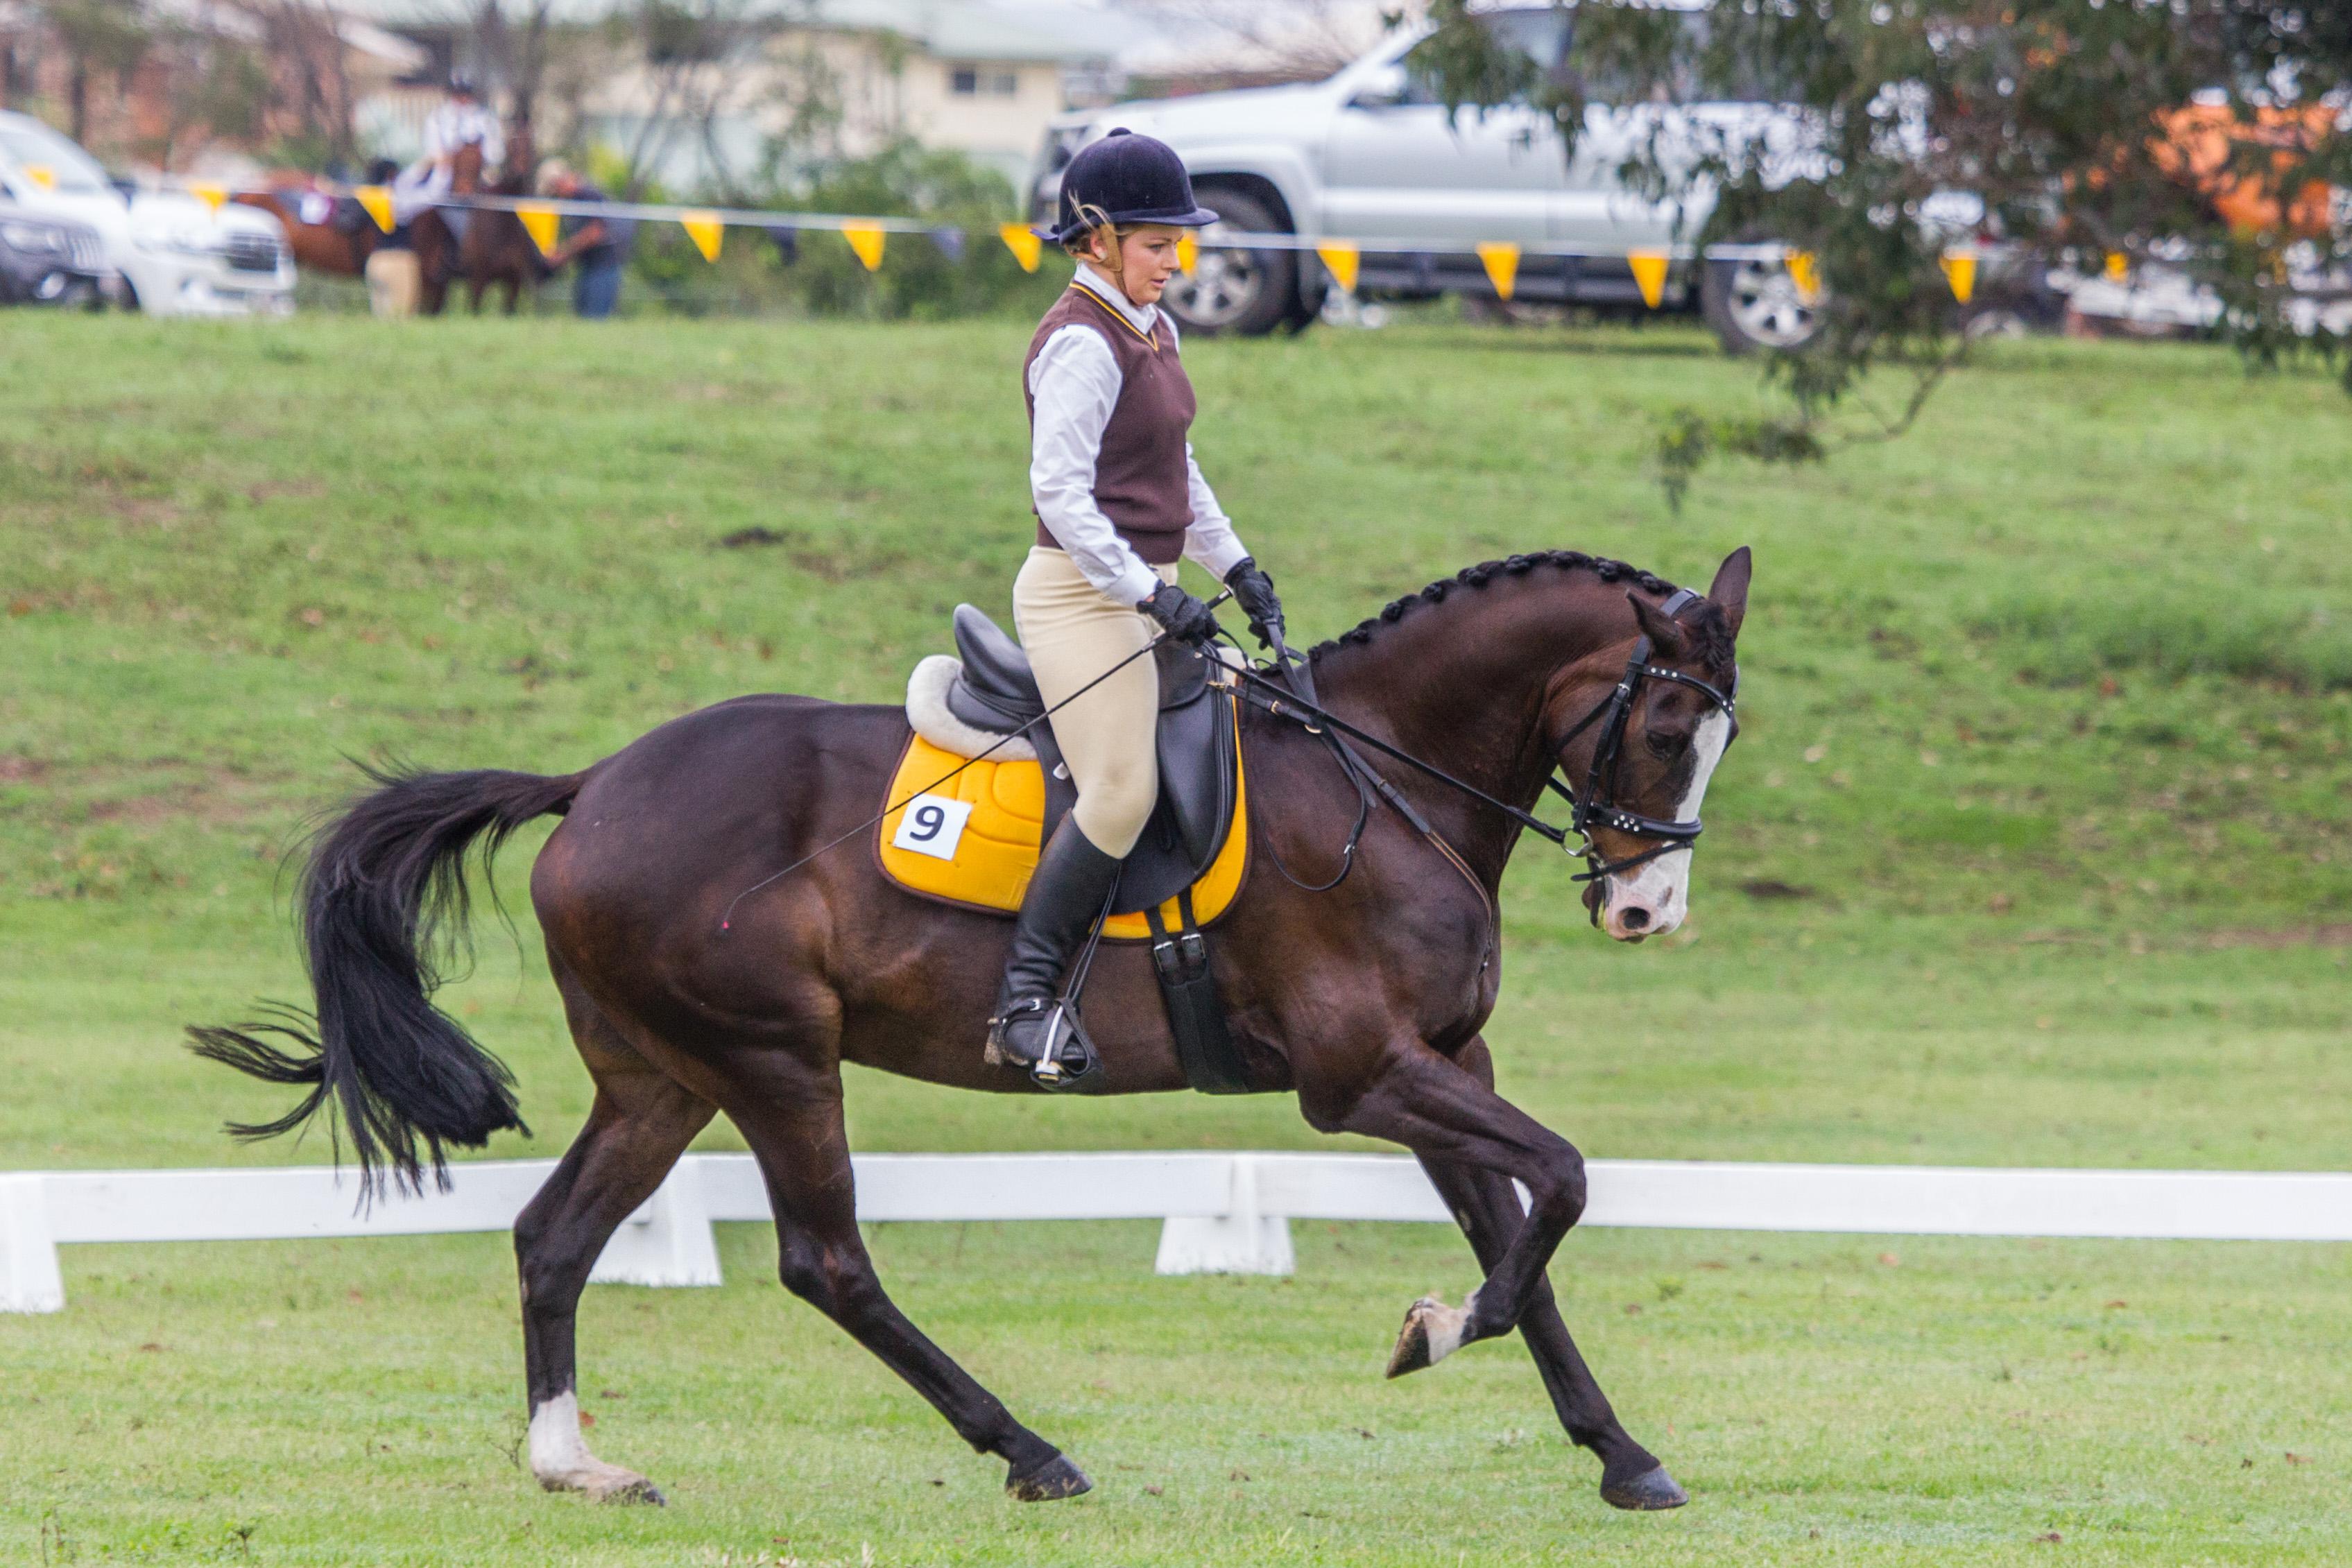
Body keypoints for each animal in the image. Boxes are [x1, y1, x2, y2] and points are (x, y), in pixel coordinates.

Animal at [191, 546, 1750, 1512]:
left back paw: (576, 1464)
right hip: (773, 1059)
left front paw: (1618, 1453)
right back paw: (1028, 1447)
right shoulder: (1362, 1075)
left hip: (661, 1077)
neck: (1381, 773)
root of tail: (600, 783)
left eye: (1720, 733)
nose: (1646, 907)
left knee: (554, 1238)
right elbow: (1558, 1189)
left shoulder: (1442, 1062)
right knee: (826, 1262)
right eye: (1669, 725)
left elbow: (1522, 1233)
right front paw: (1438, 1328)